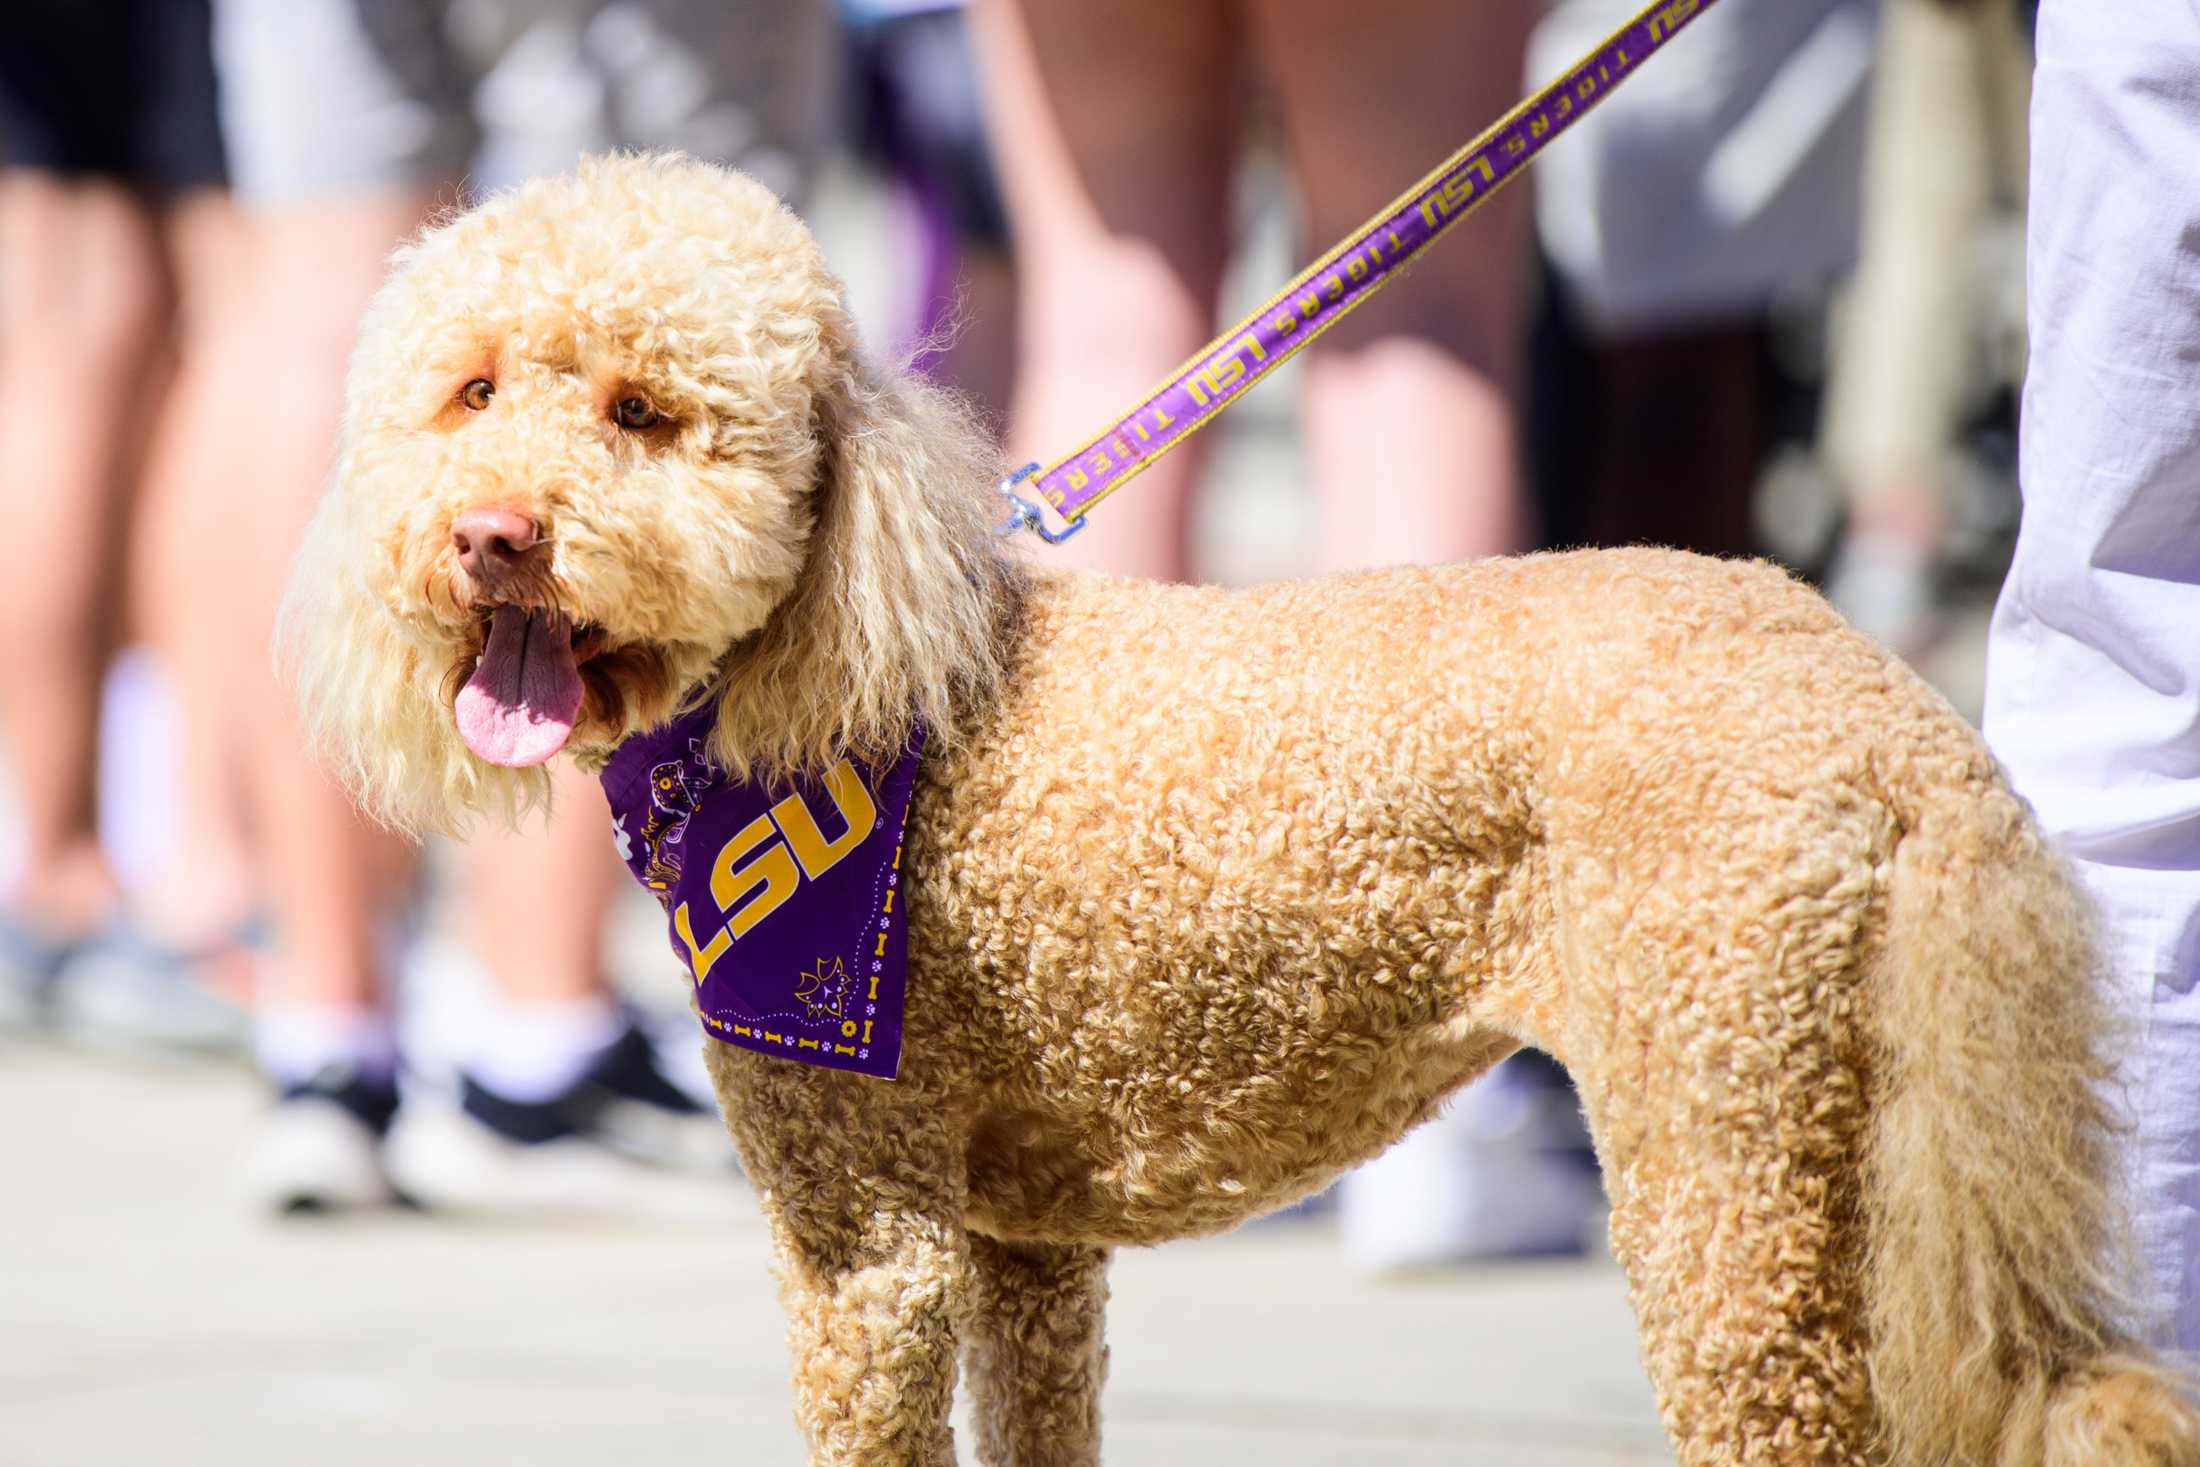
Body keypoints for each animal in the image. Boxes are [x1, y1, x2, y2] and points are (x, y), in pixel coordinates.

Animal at [288, 155, 2200, 1460]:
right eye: (470, 391)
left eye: (642, 412)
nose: (490, 533)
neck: (839, 686)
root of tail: (1898, 719)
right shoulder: (1028, 1239)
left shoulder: (867, 1237)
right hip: (1848, 1128)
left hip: (1727, 1139)